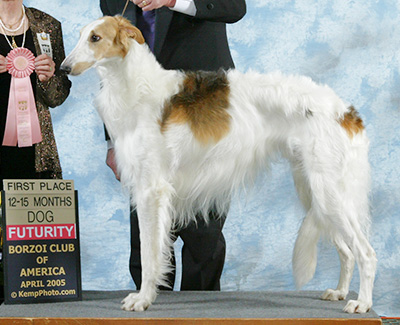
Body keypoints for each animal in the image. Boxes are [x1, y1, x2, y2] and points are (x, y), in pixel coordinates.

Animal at [61, 15, 376, 312]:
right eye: (80, 35)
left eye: (95, 37)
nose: (63, 68)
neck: (135, 85)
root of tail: (347, 112)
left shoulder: (151, 190)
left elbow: (150, 253)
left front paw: (142, 299)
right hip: (315, 193)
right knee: (347, 251)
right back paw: (340, 291)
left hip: (329, 192)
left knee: (366, 253)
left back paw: (361, 303)